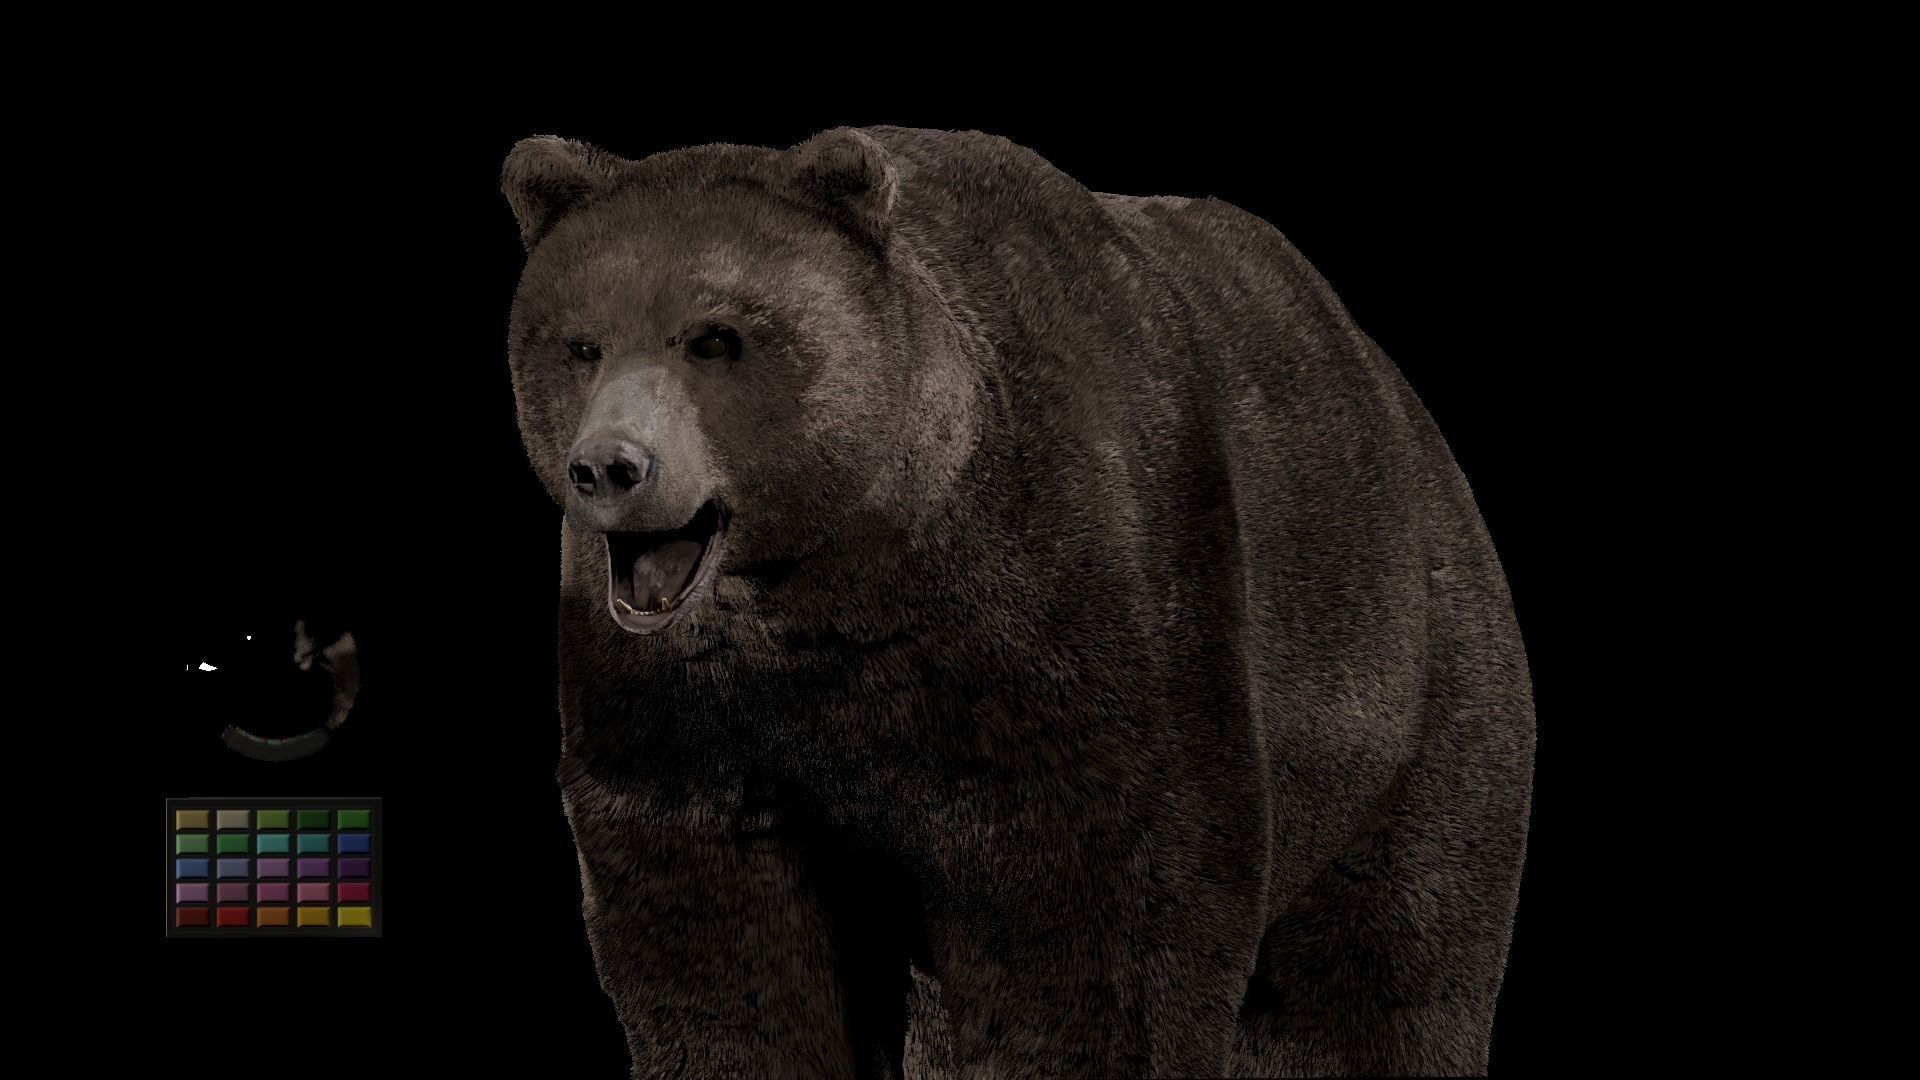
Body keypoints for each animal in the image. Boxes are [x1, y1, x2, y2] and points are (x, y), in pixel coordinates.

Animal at [501, 125, 1534, 1078]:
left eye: (716, 338)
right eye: (579, 344)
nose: (611, 466)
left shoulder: (1063, 607)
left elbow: (1108, 900)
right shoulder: (676, 694)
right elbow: (715, 917)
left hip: (1408, 677)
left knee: (1392, 957)